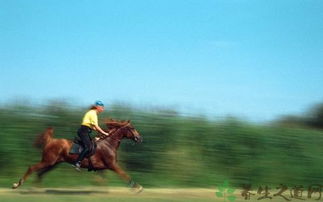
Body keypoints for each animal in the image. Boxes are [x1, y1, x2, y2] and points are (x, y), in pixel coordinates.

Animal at [12, 120, 143, 193]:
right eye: (132, 128)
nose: (139, 138)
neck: (108, 143)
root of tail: (50, 140)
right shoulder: (113, 165)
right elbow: (124, 174)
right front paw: (138, 187)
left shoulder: (102, 168)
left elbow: (101, 180)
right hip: (48, 161)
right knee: (32, 168)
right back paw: (17, 185)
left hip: (53, 163)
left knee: (40, 173)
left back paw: (35, 188)